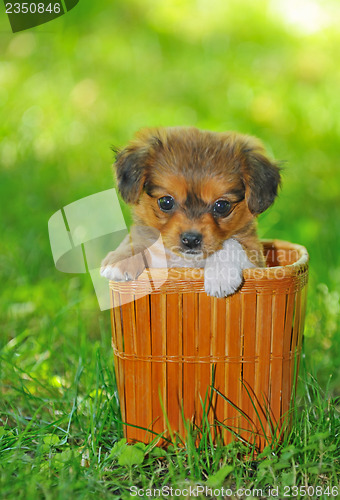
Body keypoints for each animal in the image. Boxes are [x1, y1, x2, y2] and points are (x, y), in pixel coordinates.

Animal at [99, 126, 280, 296]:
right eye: (166, 202)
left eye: (222, 206)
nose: (191, 239)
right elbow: (135, 240)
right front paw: (120, 260)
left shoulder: (256, 258)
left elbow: (231, 243)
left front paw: (221, 274)